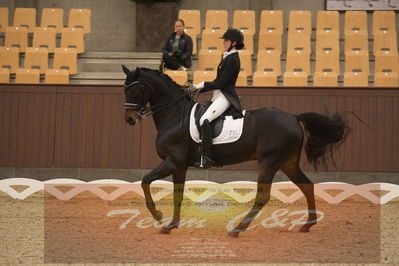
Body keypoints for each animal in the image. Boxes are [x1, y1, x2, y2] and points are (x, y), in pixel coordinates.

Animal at [121, 65, 346, 238]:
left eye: (135, 90)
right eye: (124, 90)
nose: (130, 119)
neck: (176, 116)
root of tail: (293, 116)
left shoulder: (172, 162)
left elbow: (145, 181)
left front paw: (158, 216)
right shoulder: (180, 166)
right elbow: (178, 194)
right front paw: (170, 226)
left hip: (269, 163)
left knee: (263, 196)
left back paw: (237, 230)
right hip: (288, 163)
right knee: (307, 186)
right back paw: (308, 224)